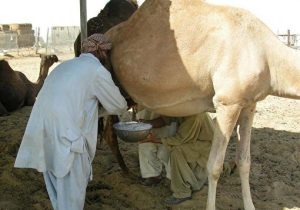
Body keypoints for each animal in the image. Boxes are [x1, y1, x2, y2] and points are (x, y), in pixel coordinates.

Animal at [104, 0, 300, 209]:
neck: (268, 56)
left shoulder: (249, 104)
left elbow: (244, 161)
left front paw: (250, 206)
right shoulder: (227, 102)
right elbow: (214, 166)